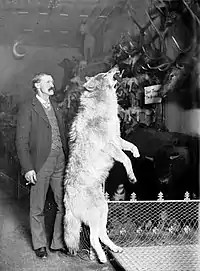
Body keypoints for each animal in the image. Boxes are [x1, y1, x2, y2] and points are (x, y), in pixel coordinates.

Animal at [63, 66, 140, 264]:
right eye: (105, 74)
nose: (116, 67)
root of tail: (68, 202)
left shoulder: (117, 139)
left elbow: (131, 147)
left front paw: (137, 153)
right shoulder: (110, 145)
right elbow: (126, 159)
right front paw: (131, 176)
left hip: (104, 211)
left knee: (101, 235)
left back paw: (114, 249)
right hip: (97, 214)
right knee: (92, 238)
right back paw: (103, 258)